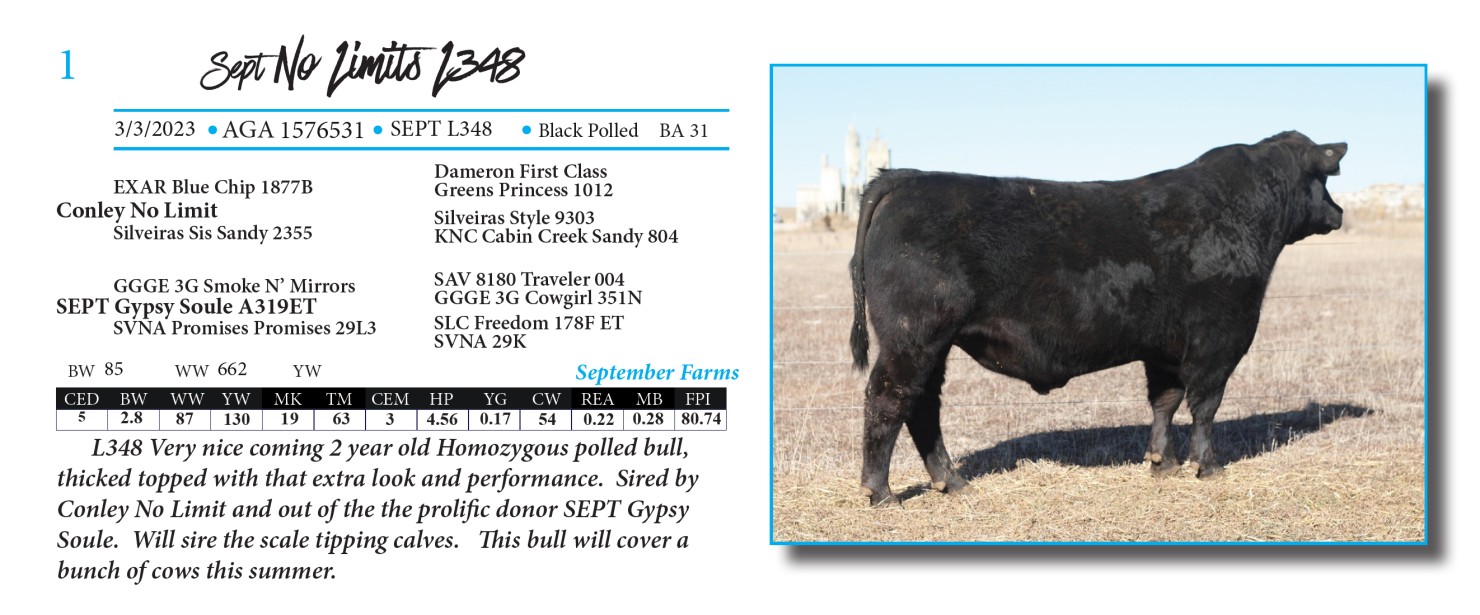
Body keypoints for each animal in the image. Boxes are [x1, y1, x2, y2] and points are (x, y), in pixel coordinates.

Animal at [848, 131, 1347, 507]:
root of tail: (907, 177)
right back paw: (881, 492)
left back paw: (951, 482)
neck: (1241, 211)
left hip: (932, 345)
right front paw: (1208, 466)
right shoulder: (1219, 339)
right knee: (888, 399)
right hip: (913, 338)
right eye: (1323, 177)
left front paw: (1162, 463)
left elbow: (1165, 401)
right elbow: (1205, 405)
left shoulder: (1165, 349)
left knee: (922, 406)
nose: (1339, 213)